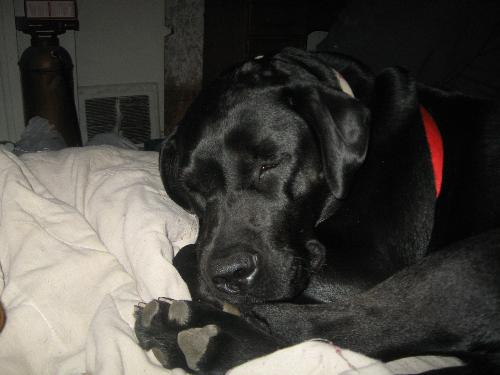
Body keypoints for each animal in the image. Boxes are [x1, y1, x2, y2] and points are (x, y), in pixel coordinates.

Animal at [133, 48, 500, 374]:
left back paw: (205, 335)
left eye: (270, 163)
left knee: (349, 329)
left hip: (469, 263)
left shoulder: (365, 270)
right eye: (192, 187)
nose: (229, 275)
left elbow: (186, 254)